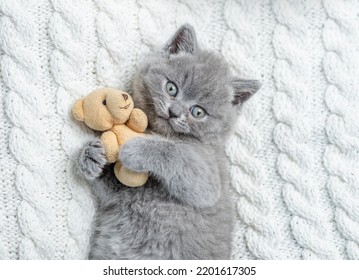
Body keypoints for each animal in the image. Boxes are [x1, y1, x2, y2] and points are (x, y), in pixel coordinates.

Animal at [77, 24, 260, 260]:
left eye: (198, 112)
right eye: (171, 88)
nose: (174, 112)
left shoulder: (209, 179)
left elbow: (175, 154)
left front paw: (136, 149)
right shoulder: (124, 192)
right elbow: (113, 187)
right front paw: (91, 157)